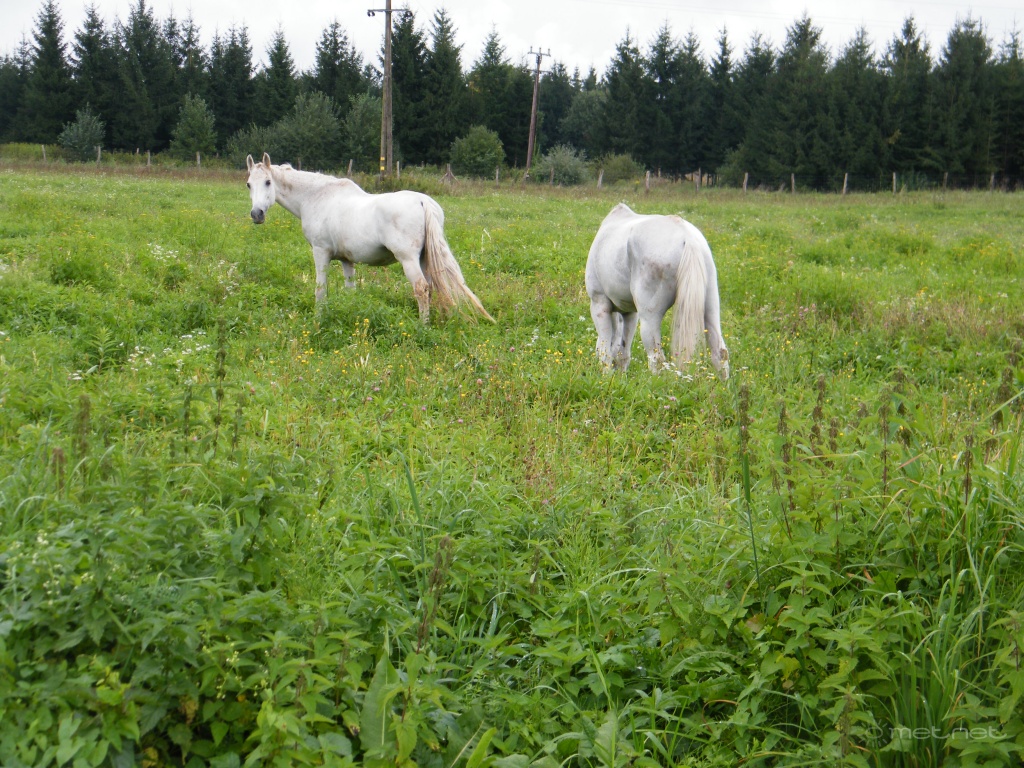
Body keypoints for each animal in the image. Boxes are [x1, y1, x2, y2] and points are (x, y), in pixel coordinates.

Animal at [245, 153, 493, 324]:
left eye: (268, 182)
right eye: (248, 184)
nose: (256, 214)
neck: (316, 197)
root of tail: (423, 202)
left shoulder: (320, 252)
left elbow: (320, 289)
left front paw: (319, 318)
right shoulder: (346, 260)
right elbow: (350, 289)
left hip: (409, 260)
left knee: (422, 288)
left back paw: (423, 326)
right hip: (425, 259)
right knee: (433, 288)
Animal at [585, 203, 729, 379]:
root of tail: (688, 238)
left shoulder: (599, 304)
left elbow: (605, 350)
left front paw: (606, 378)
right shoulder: (630, 313)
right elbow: (622, 352)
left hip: (649, 317)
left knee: (657, 358)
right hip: (710, 307)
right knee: (720, 353)